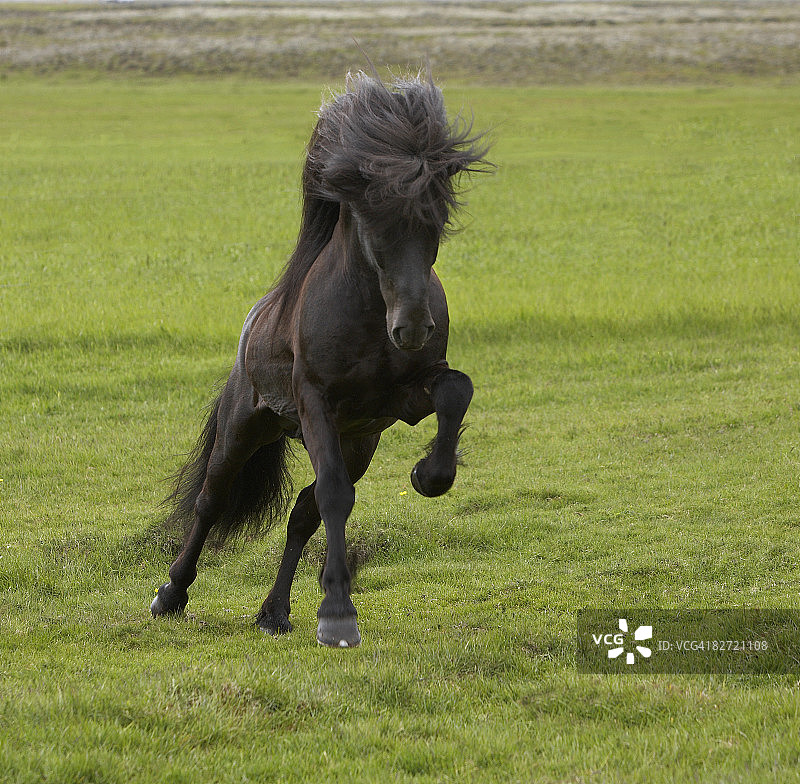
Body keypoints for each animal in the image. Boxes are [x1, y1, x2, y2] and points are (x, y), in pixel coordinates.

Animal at [150, 69, 491, 647]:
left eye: (436, 220)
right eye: (374, 222)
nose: (411, 328)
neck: (370, 316)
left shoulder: (400, 401)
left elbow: (455, 389)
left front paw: (429, 474)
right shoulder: (316, 405)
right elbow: (334, 497)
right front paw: (336, 614)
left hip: (358, 443)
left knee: (300, 514)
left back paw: (274, 612)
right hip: (246, 426)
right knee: (212, 502)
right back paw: (170, 594)